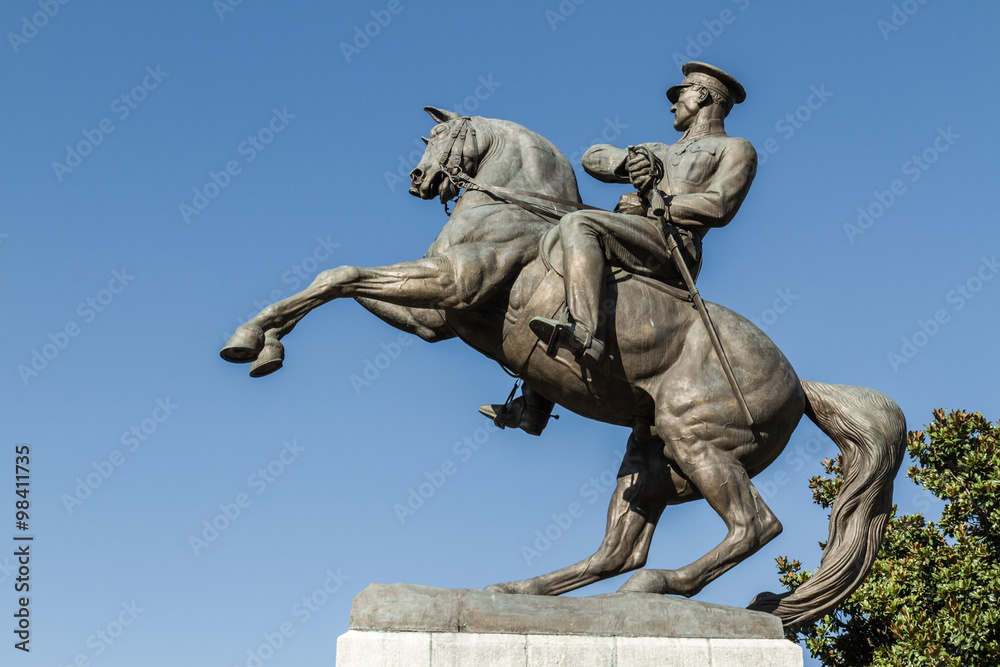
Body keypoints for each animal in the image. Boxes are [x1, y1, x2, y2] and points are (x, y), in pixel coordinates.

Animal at [219, 105, 908, 628]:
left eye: (440, 136)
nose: (418, 177)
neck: (514, 208)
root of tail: (799, 385)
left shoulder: (450, 285)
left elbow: (340, 275)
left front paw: (250, 340)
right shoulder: (435, 317)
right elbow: (340, 279)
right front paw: (265, 341)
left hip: (699, 443)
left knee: (754, 526)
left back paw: (657, 587)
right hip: (652, 461)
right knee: (619, 551)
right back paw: (519, 590)